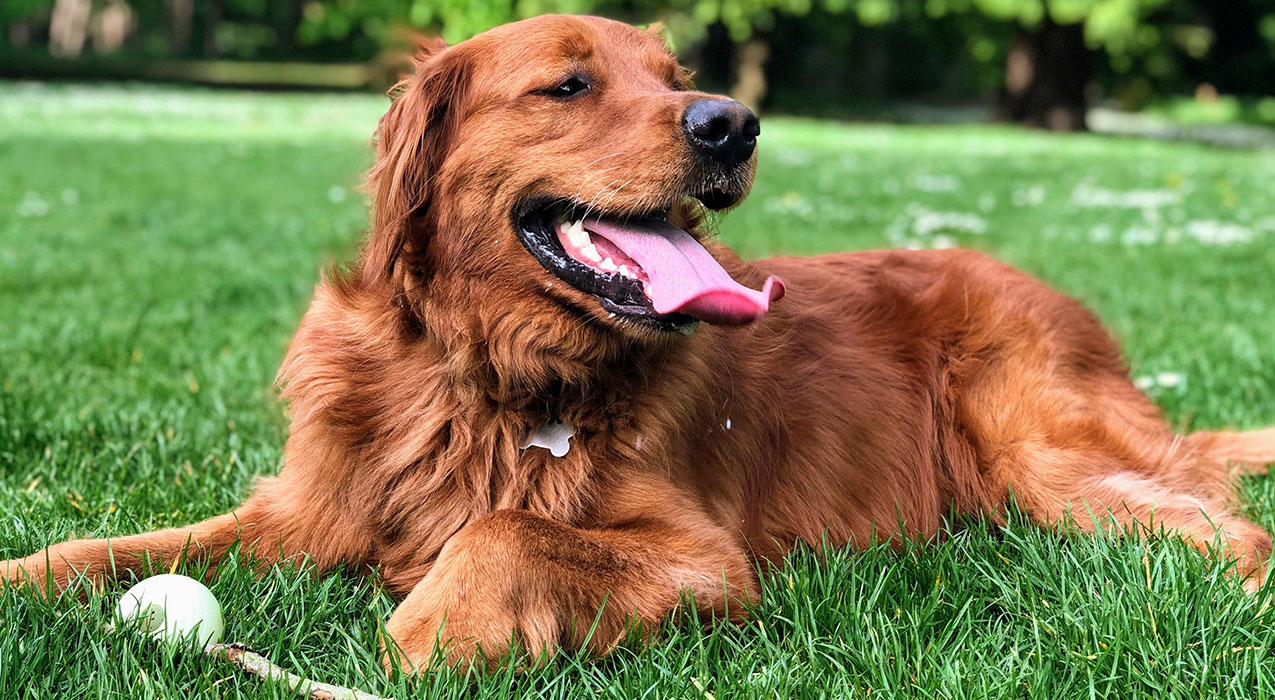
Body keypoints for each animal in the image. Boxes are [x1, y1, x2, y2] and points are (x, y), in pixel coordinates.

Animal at [7, 13, 1275, 673]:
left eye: (678, 80)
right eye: (567, 85)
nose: (733, 122)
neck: (486, 373)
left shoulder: (705, 557)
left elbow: (507, 529)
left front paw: (429, 627)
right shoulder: (306, 510)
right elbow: (106, 547)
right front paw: (25, 580)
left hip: (1045, 459)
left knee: (1232, 533)